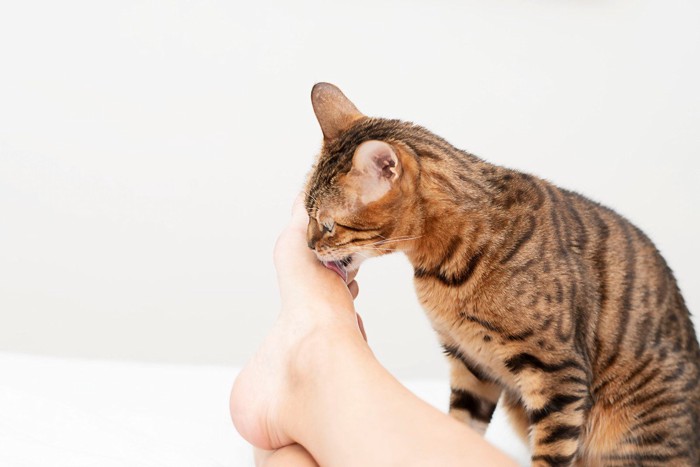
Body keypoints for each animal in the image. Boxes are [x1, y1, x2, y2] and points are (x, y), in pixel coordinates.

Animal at [302, 82, 700, 466]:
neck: (444, 266)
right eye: (306, 213)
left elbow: (551, 454)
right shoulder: (470, 364)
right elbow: (459, 428)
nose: (308, 245)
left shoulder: (558, 375)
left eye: (328, 224)